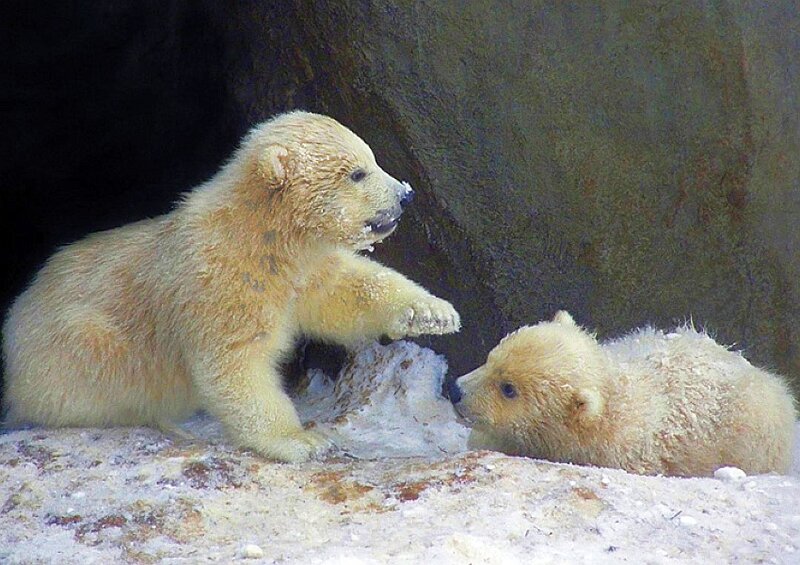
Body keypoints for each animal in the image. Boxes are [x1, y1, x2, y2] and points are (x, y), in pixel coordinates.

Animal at [2, 111, 461, 463]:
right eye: (357, 172)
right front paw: (303, 440)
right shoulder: (221, 278)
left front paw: (432, 313)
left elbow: (345, 290)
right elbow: (235, 362)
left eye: (371, 157)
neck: (259, 234)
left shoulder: (304, 268)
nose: (405, 194)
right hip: (80, 347)